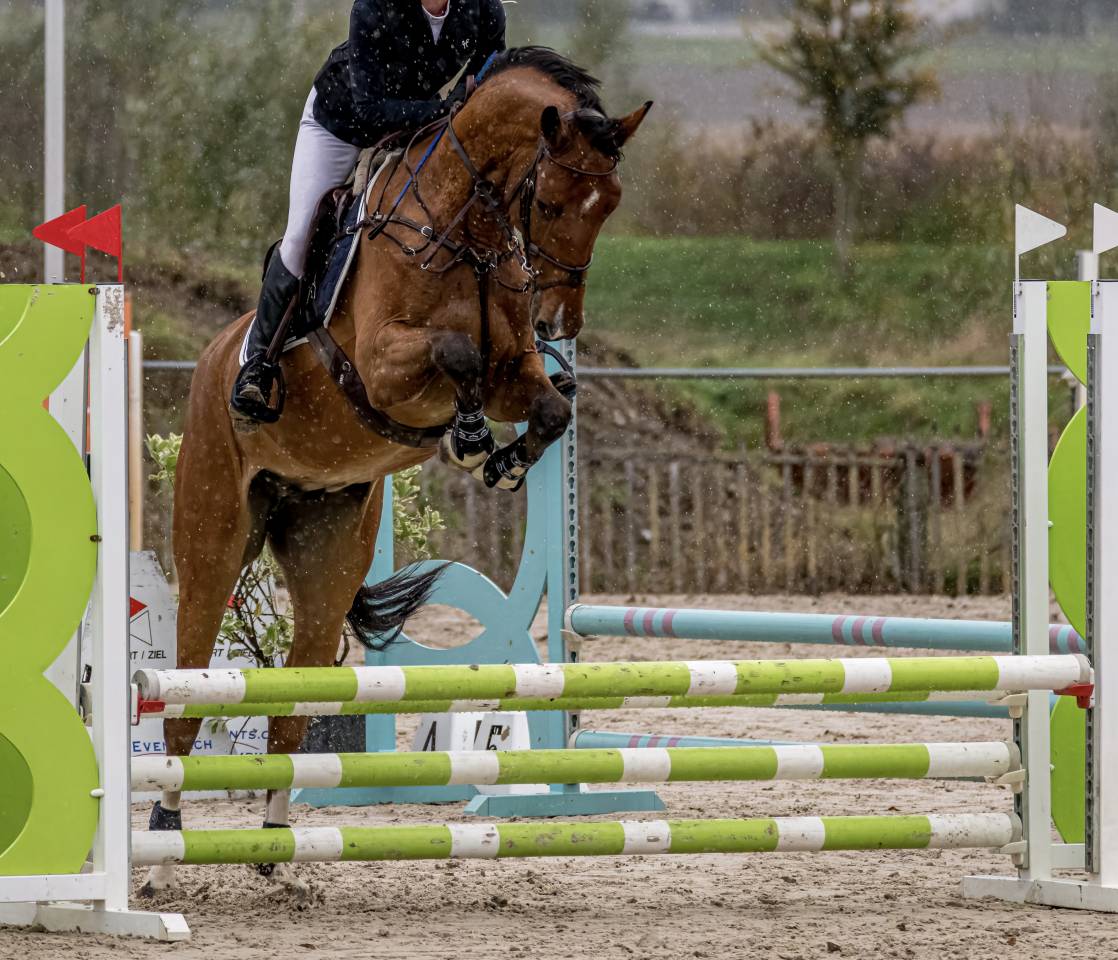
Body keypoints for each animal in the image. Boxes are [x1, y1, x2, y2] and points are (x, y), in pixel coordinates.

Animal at [143, 46, 650, 895]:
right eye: (548, 201)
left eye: (610, 204)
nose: (560, 323)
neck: (468, 230)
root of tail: (211, 359)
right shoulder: (383, 366)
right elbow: (456, 352)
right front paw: (469, 435)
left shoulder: (516, 371)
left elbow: (548, 406)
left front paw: (502, 458)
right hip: (212, 533)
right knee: (183, 697)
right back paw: (159, 851)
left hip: (327, 548)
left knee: (293, 704)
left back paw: (276, 853)